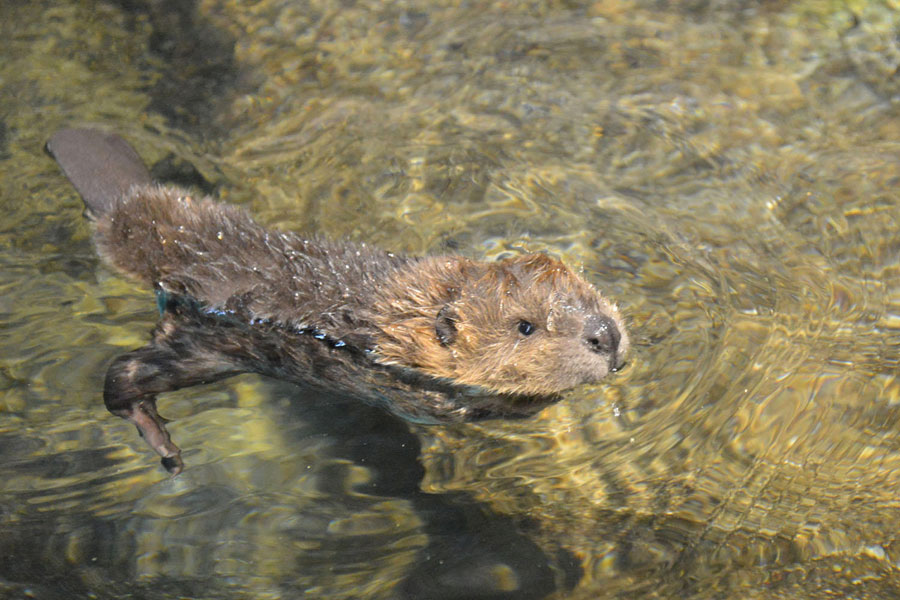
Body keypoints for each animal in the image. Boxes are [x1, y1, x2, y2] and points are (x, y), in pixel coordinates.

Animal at [45, 127, 628, 474]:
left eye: (583, 289)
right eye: (526, 326)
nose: (605, 335)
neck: (401, 307)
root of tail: (130, 209)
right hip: (208, 346)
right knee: (121, 375)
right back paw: (165, 446)